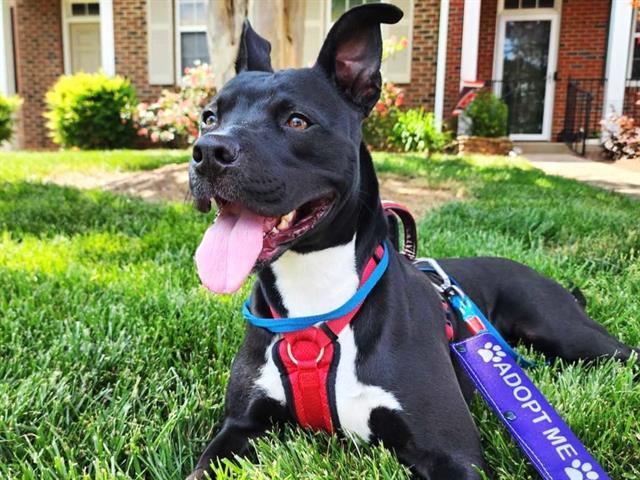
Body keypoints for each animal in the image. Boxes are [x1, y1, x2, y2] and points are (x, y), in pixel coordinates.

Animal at [188, 2, 636, 476]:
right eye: (209, 117)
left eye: (297, 121)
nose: (208, 152)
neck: (316, 298)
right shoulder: (239, 426)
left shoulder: (452, 452)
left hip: (571, 333)